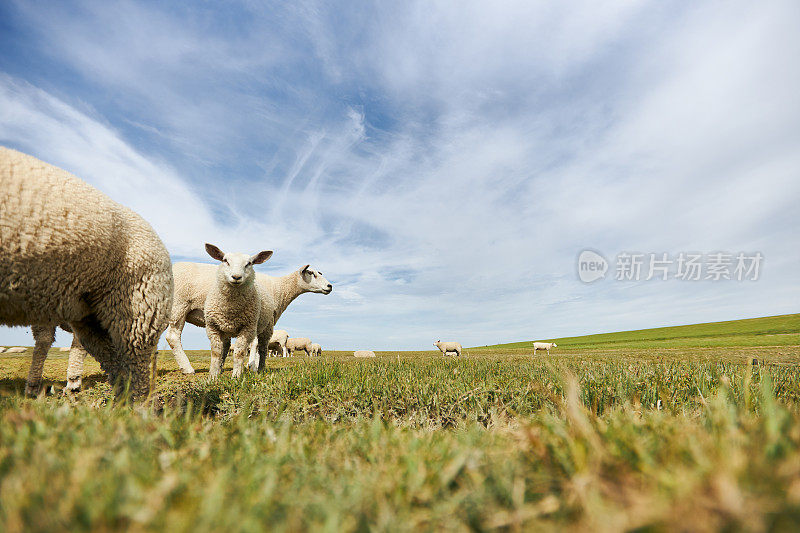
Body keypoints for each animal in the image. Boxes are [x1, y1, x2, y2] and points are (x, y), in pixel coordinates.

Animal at [202, 243, 274, 380]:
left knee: (263, 350)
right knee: (225, 349)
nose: (236, 277)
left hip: (267, 328)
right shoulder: (212, 327)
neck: (231, 309)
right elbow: (216, 352)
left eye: (249, 263)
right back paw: (220, 369)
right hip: (225, 330)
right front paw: (212, 377)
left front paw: (236, 377)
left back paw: (261, 369)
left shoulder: (247, 328)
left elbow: (239, 353)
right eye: (225, 260)